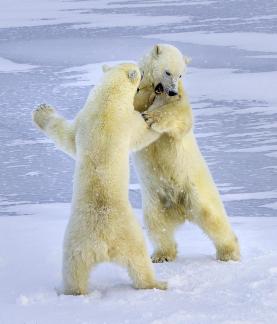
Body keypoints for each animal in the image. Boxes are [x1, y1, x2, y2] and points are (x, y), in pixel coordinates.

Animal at [32, 44, 239, 264]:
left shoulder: (181, 99)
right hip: (155, 201)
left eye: (181, 74)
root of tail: (181, 209)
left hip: (195, 189)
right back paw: (162, 254)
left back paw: (229, 252)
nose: (172, 91)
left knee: (212, 216)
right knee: (157, 225)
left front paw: (151, 117)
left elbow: (180, 117)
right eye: (168, 72)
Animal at [32, 62, 166, 294]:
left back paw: (73, 291)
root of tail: (103, 244)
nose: (143, 72)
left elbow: (66, 136)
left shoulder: (83, 121)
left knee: (74, 270)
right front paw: (155, 119)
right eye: (139, 70)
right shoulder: (126, 122)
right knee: (139, 262)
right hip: (129, 235)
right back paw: (158, 283)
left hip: (76, 244)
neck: (107, 102)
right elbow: (143, 132)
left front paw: (41, 110)